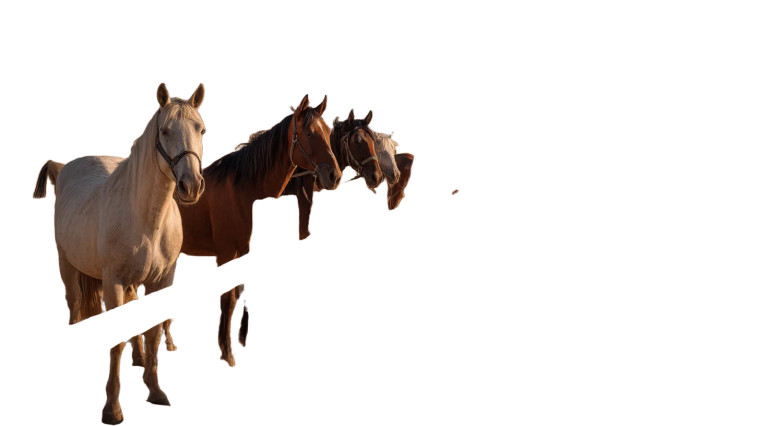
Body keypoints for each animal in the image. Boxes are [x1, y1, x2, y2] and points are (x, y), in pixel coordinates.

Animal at [33, 83, 206, 424]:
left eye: (201, 129)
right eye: (165, 131)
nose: (190, 186)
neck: (147, 219)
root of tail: (63, 168)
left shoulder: (161, 283)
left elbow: (153, 333)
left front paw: (155, 389)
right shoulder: (112, 283)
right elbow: (116, 342)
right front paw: (112, 408)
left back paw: (138, 358)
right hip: (67, 266)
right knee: (74, 305)